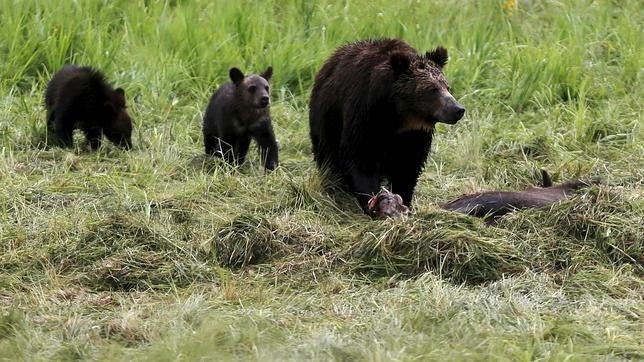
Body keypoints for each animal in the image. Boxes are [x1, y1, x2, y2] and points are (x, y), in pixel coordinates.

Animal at [310, 38, 466, 216]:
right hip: (326, 120)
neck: (397, 116)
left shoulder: (414, 135)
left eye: (447, 87)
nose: (458, 109)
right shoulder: (364, 116)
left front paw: (403, 200)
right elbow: (361, 157)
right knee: (328, 157)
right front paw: (373, 202)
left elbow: (407, 165)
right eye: (432, 89)